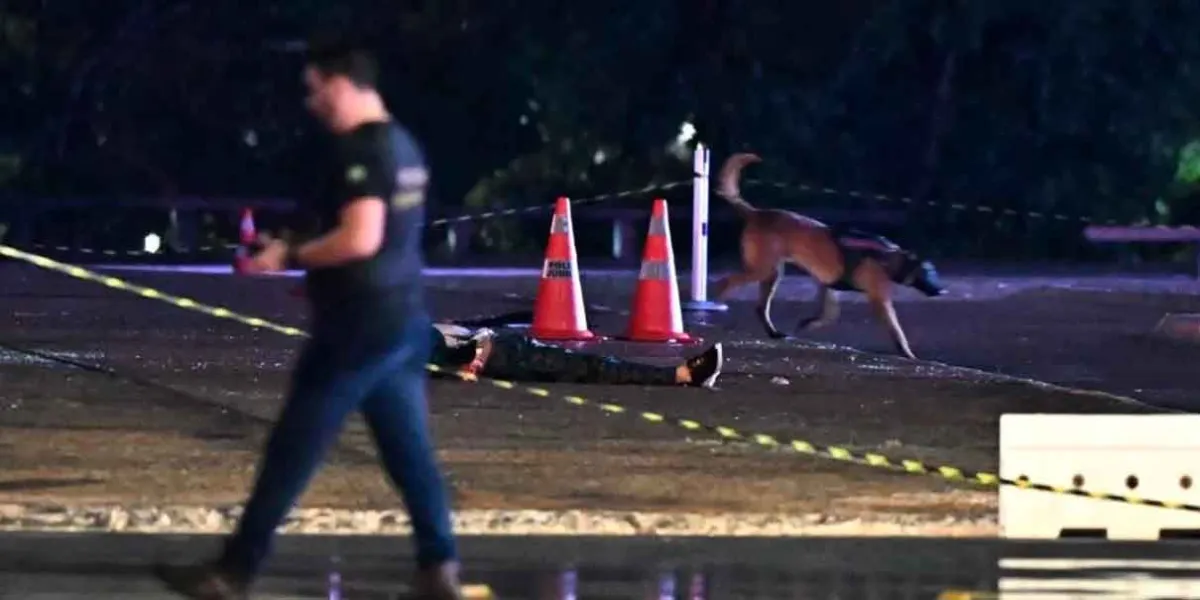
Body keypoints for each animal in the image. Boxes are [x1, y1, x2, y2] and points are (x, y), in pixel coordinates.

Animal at [705, 152, 940, 357]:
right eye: (928, 273)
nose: (942, 290)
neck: (888, 256)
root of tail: (756, 213)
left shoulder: (828, 287)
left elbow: (827, 316)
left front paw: (807, 324)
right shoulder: (880, 300)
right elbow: (896, 331)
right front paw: (907, 354)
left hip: (772, 273)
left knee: (760, 307)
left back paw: (773, 332)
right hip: (761, 269)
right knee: (726, 282)